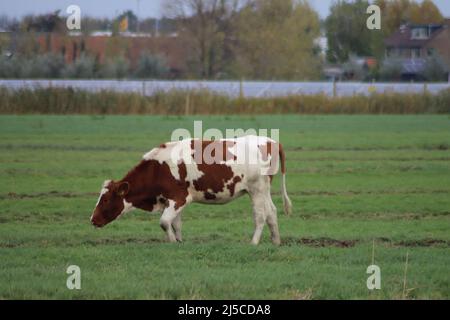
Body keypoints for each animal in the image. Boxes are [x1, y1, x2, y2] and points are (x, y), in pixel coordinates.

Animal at [92, 135, 292, 245]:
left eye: (106, 199)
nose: (92, 219)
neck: (158, 168)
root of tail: (271, 141)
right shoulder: (171, 201)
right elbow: (176, 224)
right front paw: (179, 241)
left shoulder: (178, 198)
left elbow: (164, 222)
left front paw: (173, 242)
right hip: (264, 190)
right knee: (272, 212)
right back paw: (276, 241)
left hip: (256, 189)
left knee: (260, 215)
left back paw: (254, 242)